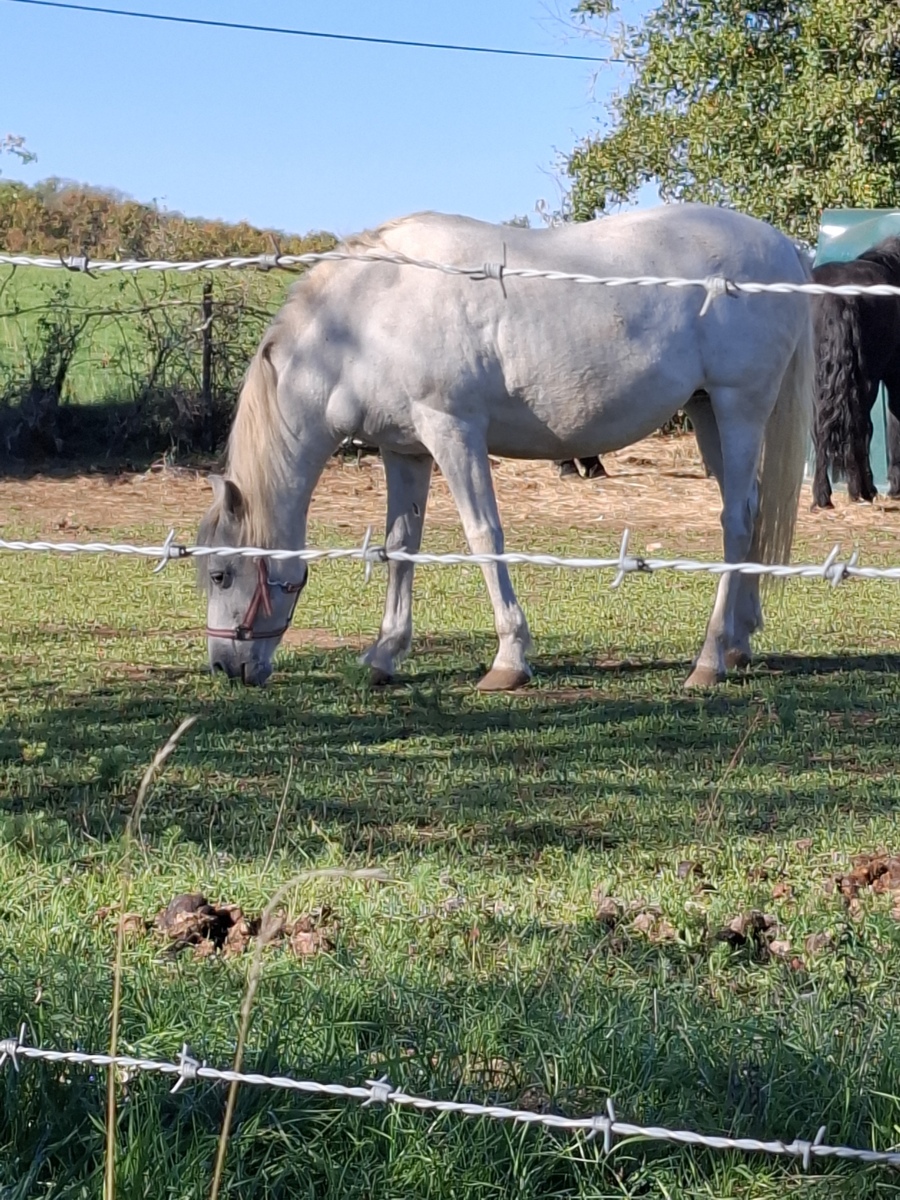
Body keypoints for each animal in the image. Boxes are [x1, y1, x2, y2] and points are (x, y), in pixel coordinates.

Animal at [197, 202, 814, 692]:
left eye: (222, 574)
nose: (226, 667)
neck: (367, 319)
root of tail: (784, 246)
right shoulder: (406, 451)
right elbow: (402, 544)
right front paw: (384, 654)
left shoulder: (453, 431)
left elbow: (483, 535)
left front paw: (509, 659)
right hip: (708, 411)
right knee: (750, 509)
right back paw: (738, 640)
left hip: (739, 407)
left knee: (736, 519)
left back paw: (709, 659)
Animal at [810, 236, 900, 509]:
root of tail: (837, 297)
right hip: (865, 379)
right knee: (860, 427)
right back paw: (863, 489)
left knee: (820, 427)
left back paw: (822, 496)